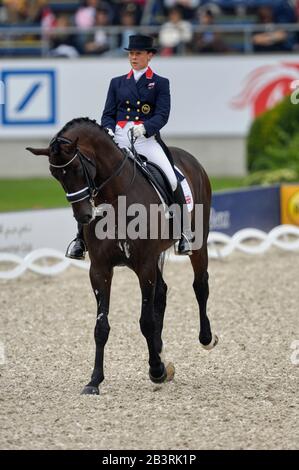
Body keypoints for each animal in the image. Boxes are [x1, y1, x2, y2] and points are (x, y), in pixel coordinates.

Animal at [27, 117, 219, 396]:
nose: (84, 216)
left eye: (77, 168)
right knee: (162, 293)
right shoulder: (100, 269)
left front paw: (156, 371)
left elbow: (146, 321)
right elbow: (101, 326)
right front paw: (94, 381)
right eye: (55, 174)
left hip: (197, 242)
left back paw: (206, 339)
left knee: (200, 284)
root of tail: (189, 158)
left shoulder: (144, 265)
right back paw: (160, 352)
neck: (116, 198)